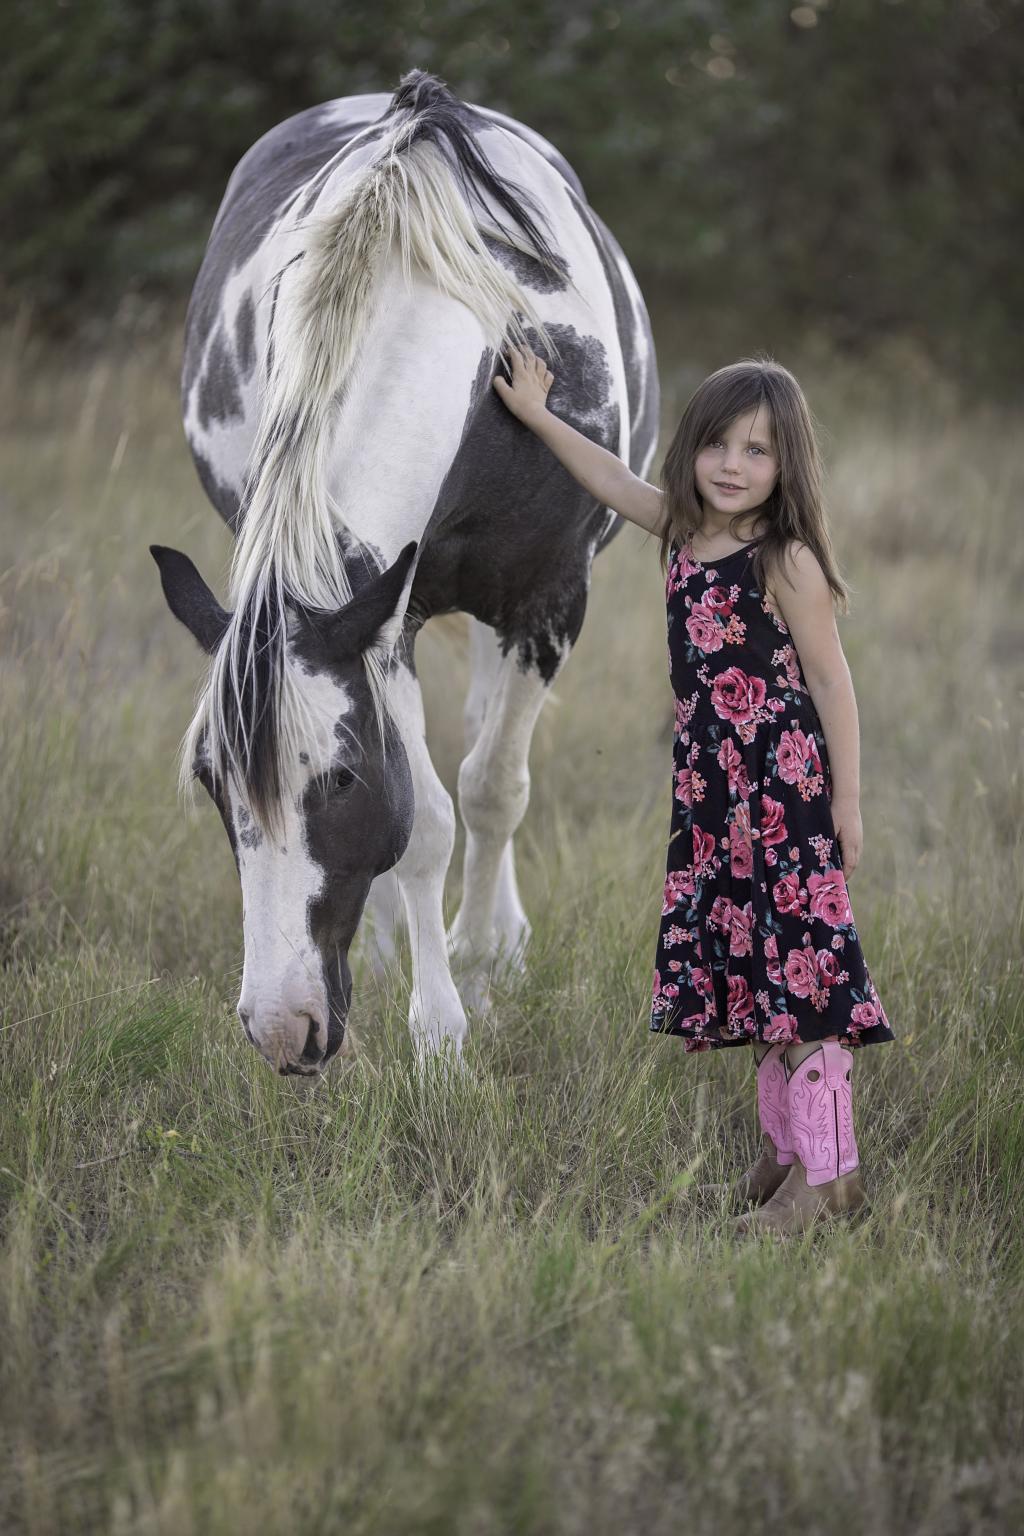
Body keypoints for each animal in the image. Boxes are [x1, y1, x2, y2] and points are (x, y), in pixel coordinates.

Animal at [155, 66, 660, 1075]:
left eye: (342, 779)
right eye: (211, 782)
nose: (282, 1029)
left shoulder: (548, 602)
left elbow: (493, 787)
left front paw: (479, 969)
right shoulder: (392, 613)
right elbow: (425, 820)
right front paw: (438, 1028)